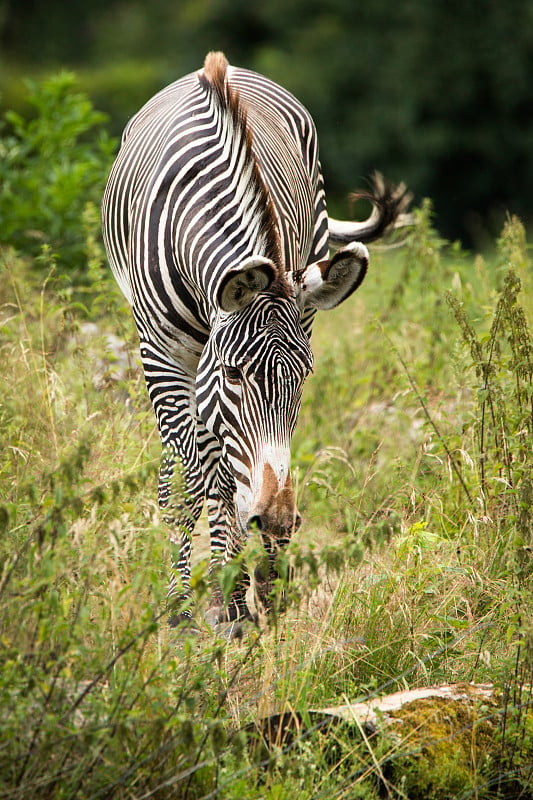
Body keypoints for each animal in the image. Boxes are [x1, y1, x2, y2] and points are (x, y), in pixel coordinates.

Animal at [101, 53, 408, 636]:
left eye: (303, 379)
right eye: (235, 374)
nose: (282, 522)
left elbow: (238, 480)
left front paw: (239, 599)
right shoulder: (164, 357)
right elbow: (189, 487)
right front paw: (181, 615)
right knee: (193, 469)